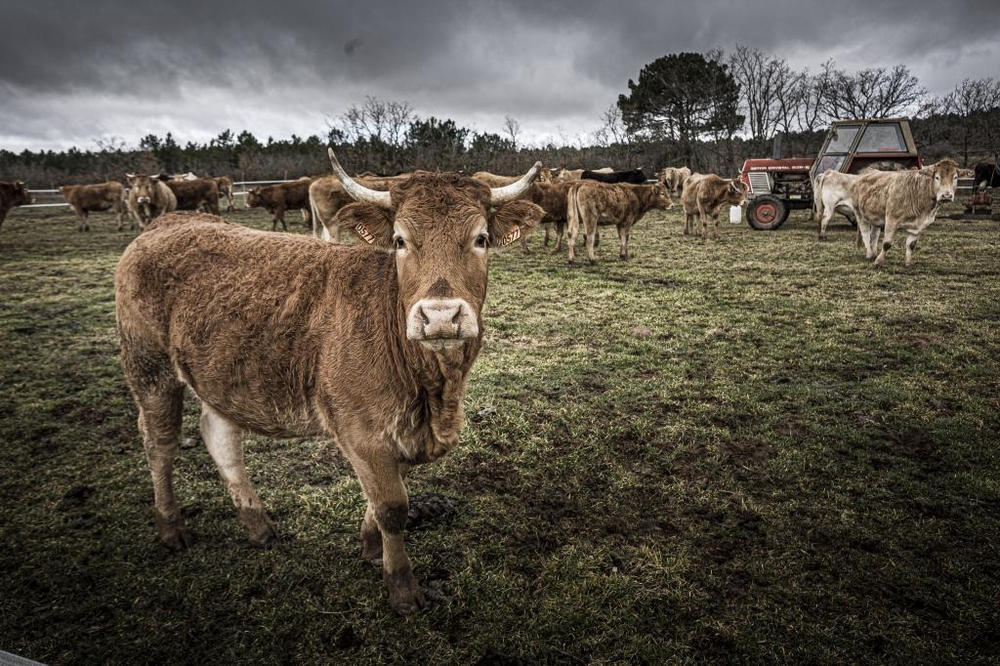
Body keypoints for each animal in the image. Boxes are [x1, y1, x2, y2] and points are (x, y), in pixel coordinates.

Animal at [115, 149, 548, 612]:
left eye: (480, 238)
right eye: (400, 241)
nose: (441, 316)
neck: (434, 388)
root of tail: (167, 223)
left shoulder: (401, 430)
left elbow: (384, 498)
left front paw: (371, 548)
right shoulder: (360, 429)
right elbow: (392, 507)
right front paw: (401, 588)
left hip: (221, 376)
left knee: (220, 437)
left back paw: (259, 526)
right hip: (150, 368)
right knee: (159, 444)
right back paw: (171, 528)